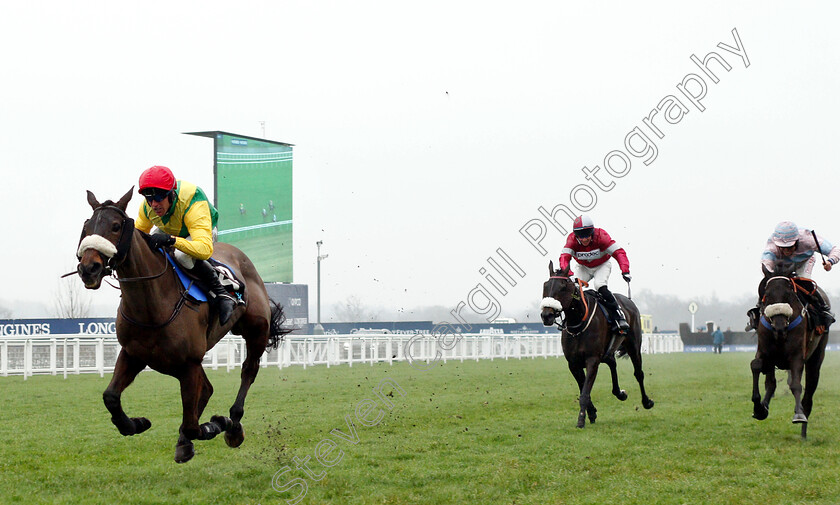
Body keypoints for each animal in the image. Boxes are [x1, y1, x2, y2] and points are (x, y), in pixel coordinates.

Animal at [76, 188, 292, 460]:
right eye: (86, 227)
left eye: (115, 226)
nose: (89, 268)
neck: (152, 305)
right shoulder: (134, 353)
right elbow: (111, 397)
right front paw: (135, 423)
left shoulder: (189, 364)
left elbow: (192, 425)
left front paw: (216, 424)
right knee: (208, 389)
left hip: (256, 331)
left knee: (248, 371)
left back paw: (233, 424)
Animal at [540, 262, 652, 428]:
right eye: (545, 285)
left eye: (563, 287)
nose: (546, 315)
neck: (579, 323)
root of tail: (628, 299)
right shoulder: (573, 363)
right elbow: (583, 389)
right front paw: (591, 413)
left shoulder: (592, 360)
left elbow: (585, 392)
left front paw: (581, 420)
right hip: (607, 352)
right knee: (612, 362)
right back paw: (620, 393)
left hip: (633, 346)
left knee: (639, 373)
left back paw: (647, 402)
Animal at [756, 264, 828, 438]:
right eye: (767, 295)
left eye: (788, 294)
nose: (779, 326)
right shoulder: (765, 352)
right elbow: (758, 369)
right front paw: (759, 408)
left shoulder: (797, 356)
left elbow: (796, 385)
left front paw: (799, 415)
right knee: (771, 383)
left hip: (816, 357)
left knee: (808, 394)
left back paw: (803, 432)